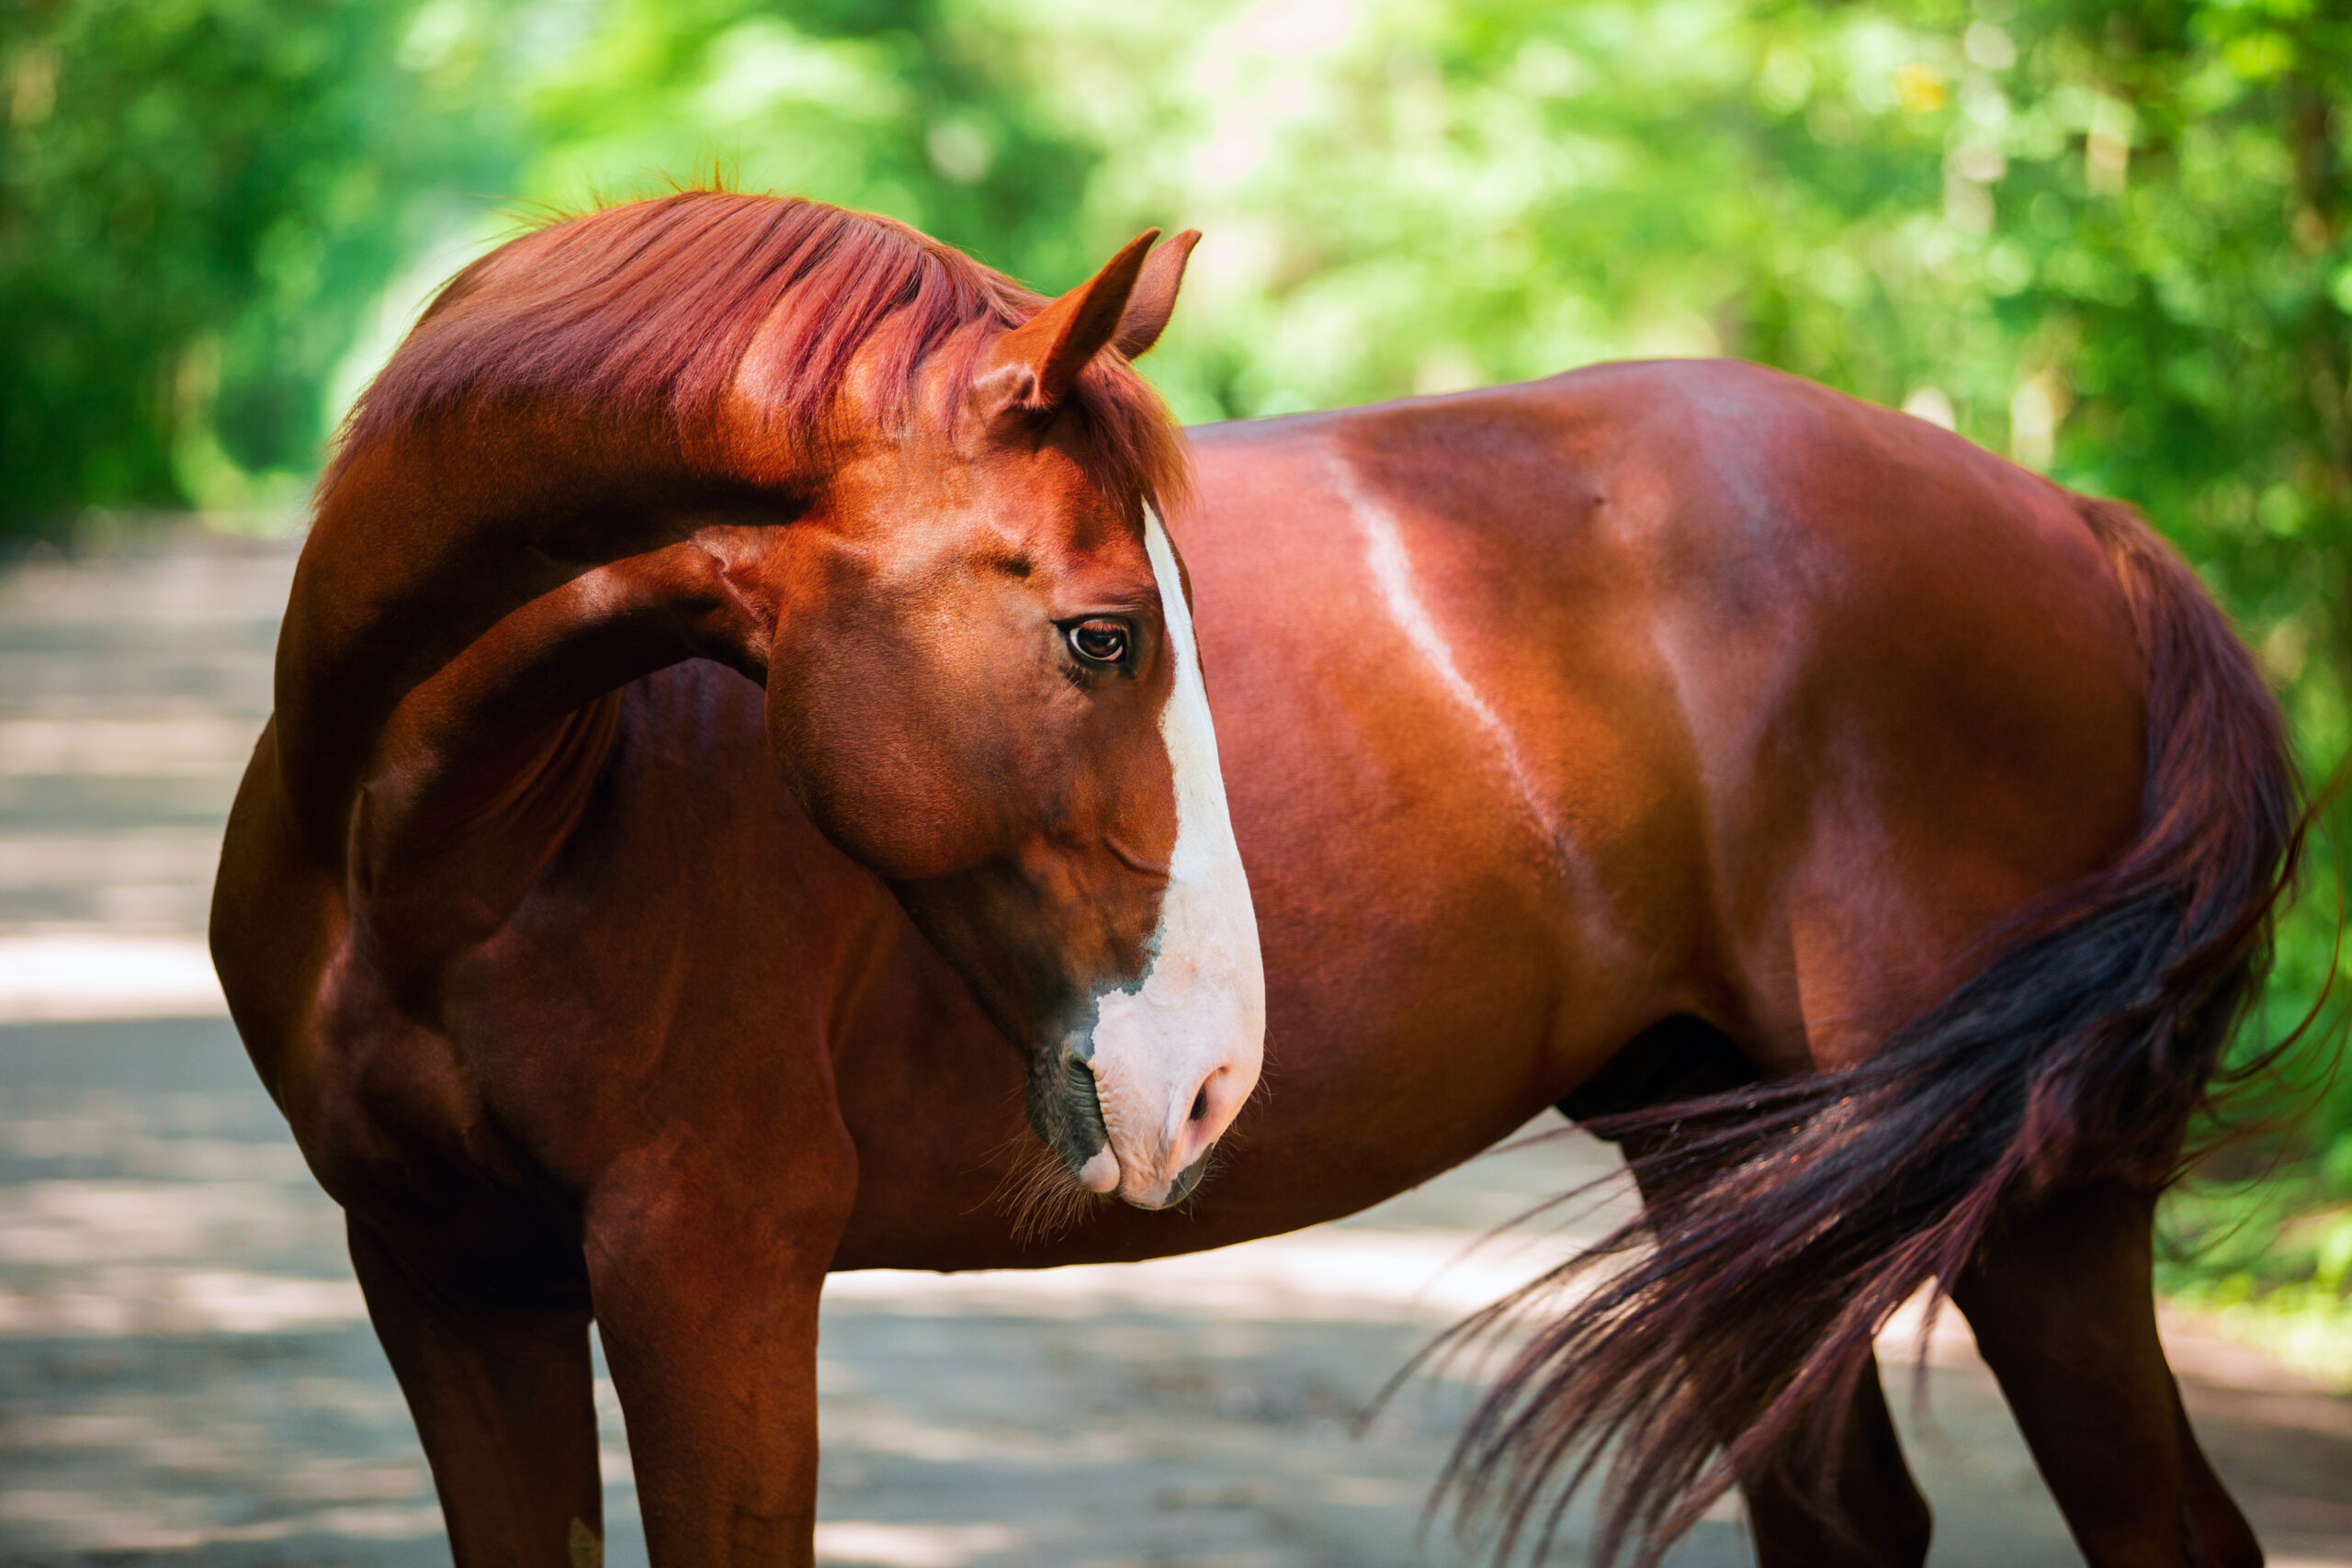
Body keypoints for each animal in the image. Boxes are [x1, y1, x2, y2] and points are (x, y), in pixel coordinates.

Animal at [216, 186, 2295, 1568]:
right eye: (1101, 635)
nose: (1208, 1077)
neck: (461, 845)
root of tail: (2089, 532)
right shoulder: (445, 1271)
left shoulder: (702, 1266)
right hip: (1735, 1162)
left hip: (2035, 1221)